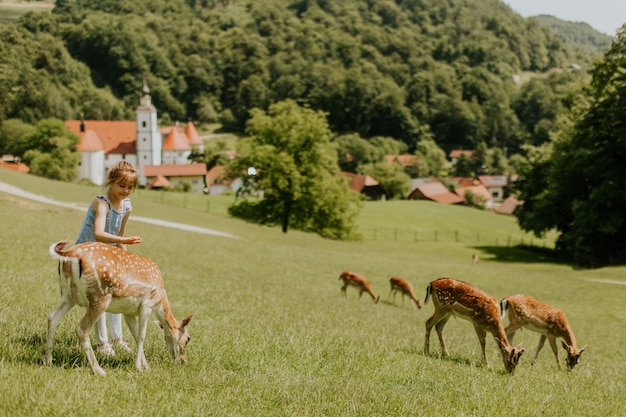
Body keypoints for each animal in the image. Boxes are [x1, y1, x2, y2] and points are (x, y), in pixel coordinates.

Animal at [45, 239, 193, 376]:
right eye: (187, 338)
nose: (184, 360)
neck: (161, 299)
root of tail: (69, 254)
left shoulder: (129, 312)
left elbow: (136, 335)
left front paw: (146, 367)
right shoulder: (147, 305)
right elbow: (141, 336)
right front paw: (139, 368)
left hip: (67, 295)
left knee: (52, 318)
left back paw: (48, 362)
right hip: (100, 297)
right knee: (81, 328)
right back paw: (98, 370)